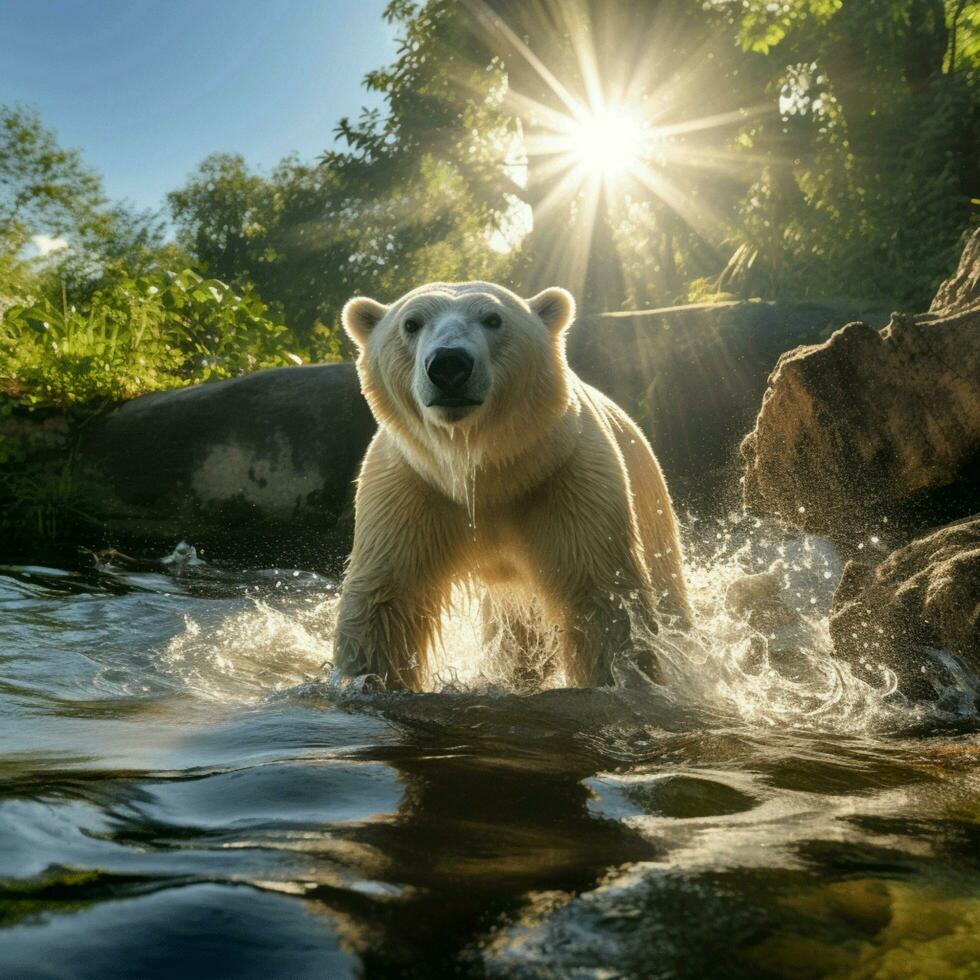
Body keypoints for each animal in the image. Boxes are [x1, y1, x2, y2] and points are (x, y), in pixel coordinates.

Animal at [336, 280, 688, 684]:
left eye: (493, 319)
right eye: (411, 323)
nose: (449, 365)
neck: (483, 474)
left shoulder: (565, 480)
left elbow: (602, 595)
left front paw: (622, 677)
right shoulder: (412, 488)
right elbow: (387, 599)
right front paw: (363, 679)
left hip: (649, 498)